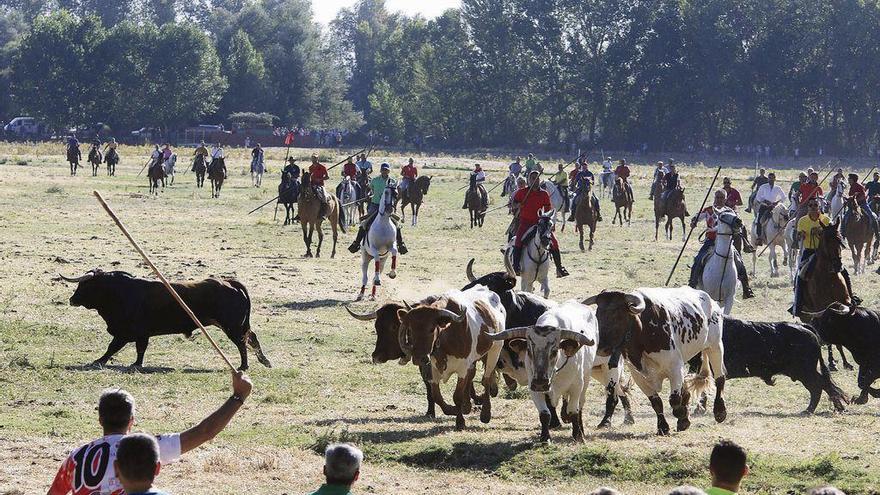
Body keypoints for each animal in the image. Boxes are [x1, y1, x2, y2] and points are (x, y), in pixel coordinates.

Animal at [60, 270, 272, 370]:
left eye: (85, 285)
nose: (72, 299)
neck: (119, 292)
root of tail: (230, 282)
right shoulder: (138, 334)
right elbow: (136, 348)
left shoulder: (128, 332)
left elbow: (115, 347)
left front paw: (101, 361)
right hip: (238, 325)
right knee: (251, 337)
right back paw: (264, 361)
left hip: (232, 327)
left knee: (242, 343)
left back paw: (244, 366)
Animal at [580, 288, 724, 436]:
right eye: (597, 315)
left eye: (617, 315)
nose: (600, 348)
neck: (643, 333)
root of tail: (708, 298)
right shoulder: (639, 376)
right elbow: (656, 402)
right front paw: (663, 427)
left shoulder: (674, 367)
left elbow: (674, 400)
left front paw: (682, 417)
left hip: (715, 346)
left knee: (720, 378)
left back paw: (720, 411)